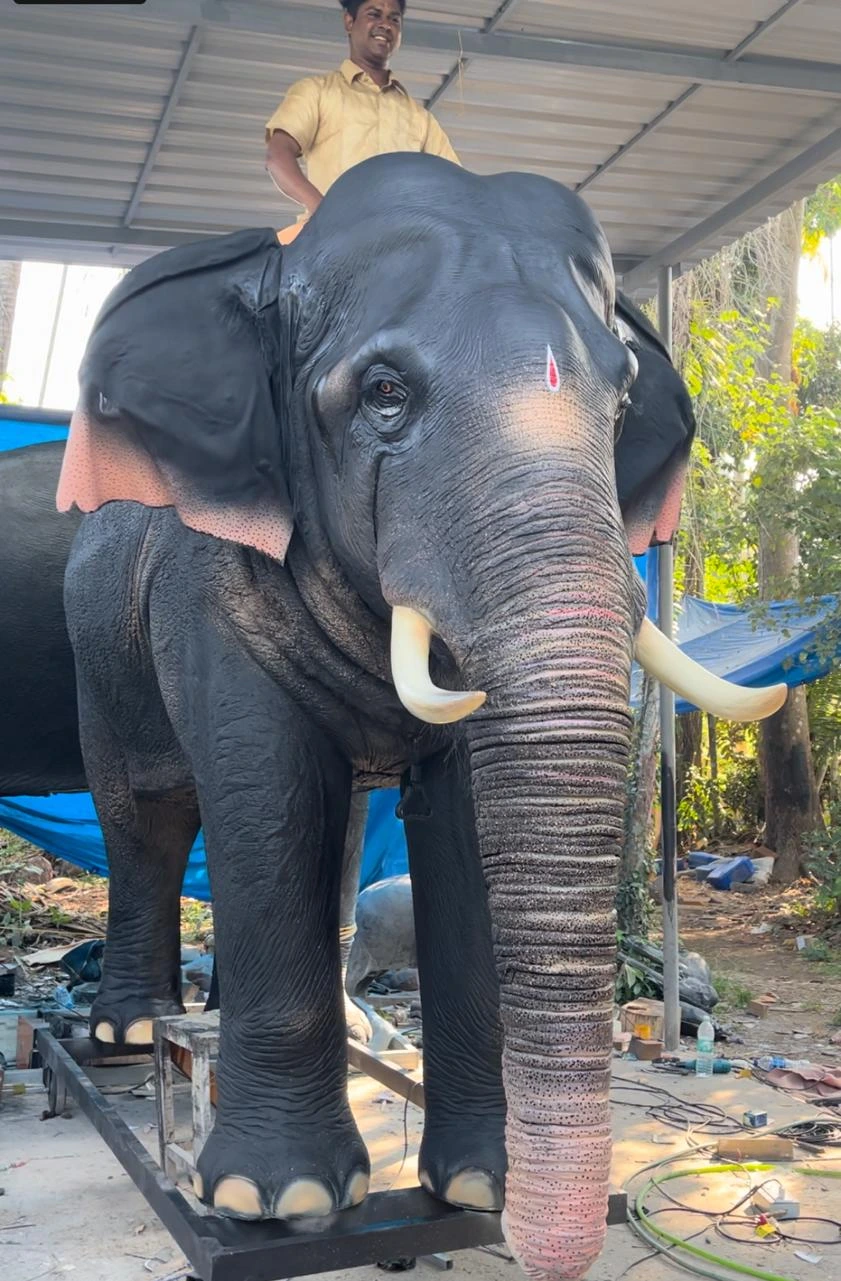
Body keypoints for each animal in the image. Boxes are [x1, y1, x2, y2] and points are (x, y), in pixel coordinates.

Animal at [14, 153, 786, 1281]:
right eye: (384, 393)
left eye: (620, 402)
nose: (560, 1235)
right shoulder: (209, 586)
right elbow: (269, 788)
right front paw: (273, 1200)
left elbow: (457, 817)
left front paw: (477, 1187)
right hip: (95, 642)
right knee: (150, 816)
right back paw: (129, 1036)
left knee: (330, 834)